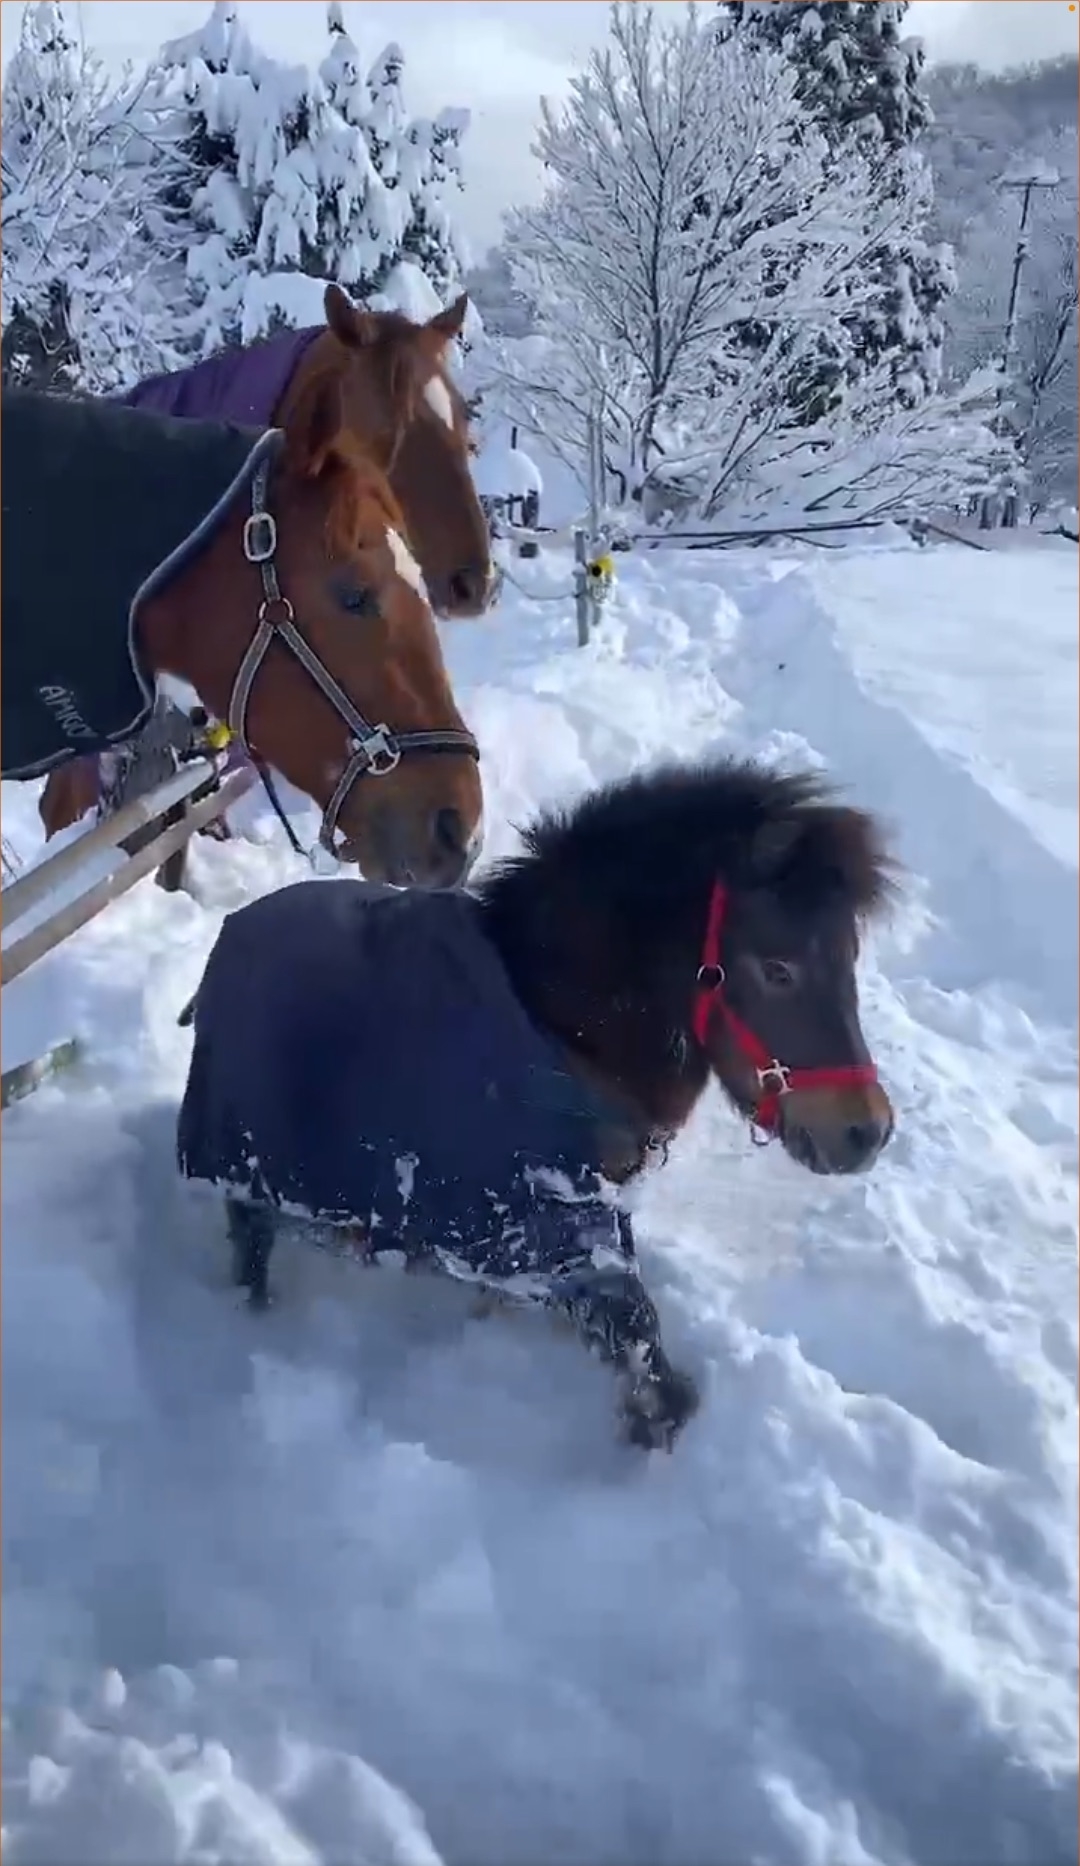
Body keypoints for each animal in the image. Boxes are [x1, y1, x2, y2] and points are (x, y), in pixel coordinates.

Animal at [174, 755, 897, 1449]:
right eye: (778, 969)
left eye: (850, 957)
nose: (869, 1130)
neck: (560, 1025)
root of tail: (231, 938)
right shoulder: (538, 1226)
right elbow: (638, 1337)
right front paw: (650, 1426)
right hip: (245, 1175)